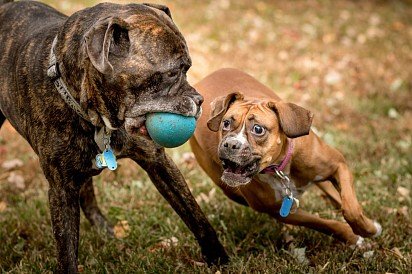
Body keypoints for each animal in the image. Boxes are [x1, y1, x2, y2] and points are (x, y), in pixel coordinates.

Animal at [0, 0, 227, 272]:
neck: (98, 119)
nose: (200, 100)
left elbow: (193, 213)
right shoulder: (61, 190)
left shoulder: (157, 162)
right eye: (172, 73)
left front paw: (218, 258)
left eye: (188, 68)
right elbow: (66, 250)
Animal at [192, 68, 382, 246]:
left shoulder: (338, 164)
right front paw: (353, 237)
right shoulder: (280, 211)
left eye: (258, 129)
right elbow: (323, 223)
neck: (280, 167)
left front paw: (368, 229)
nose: (231, 144)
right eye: (226, 123)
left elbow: (350, 208)